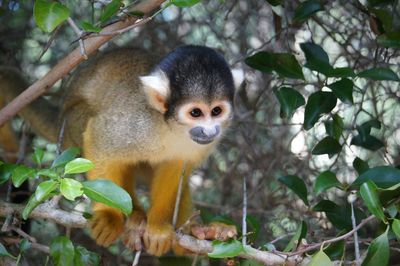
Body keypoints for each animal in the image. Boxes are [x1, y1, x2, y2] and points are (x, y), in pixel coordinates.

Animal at [0, 45, 244, 256]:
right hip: (70, 129)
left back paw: (198, 233)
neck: (170, 127)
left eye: (216, 111)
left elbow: (174, 169)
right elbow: (99, 138)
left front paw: (158, 225)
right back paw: (135, 216)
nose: (210, 130)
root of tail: (60, 117)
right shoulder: (137, 124)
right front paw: (109, 215)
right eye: (195, 113)